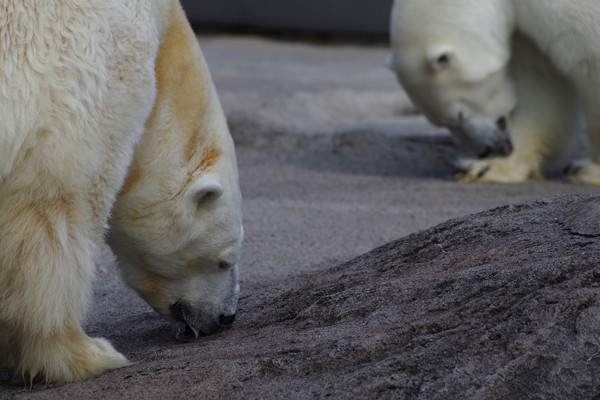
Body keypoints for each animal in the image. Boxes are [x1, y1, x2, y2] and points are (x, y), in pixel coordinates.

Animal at [386, 0, 600, 184]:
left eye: (460, 116)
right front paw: (482, 167)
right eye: (442, 124)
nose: (484, 150)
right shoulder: (523, 31)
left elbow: (590, 58)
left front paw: (587, 170)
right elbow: (537, 80)